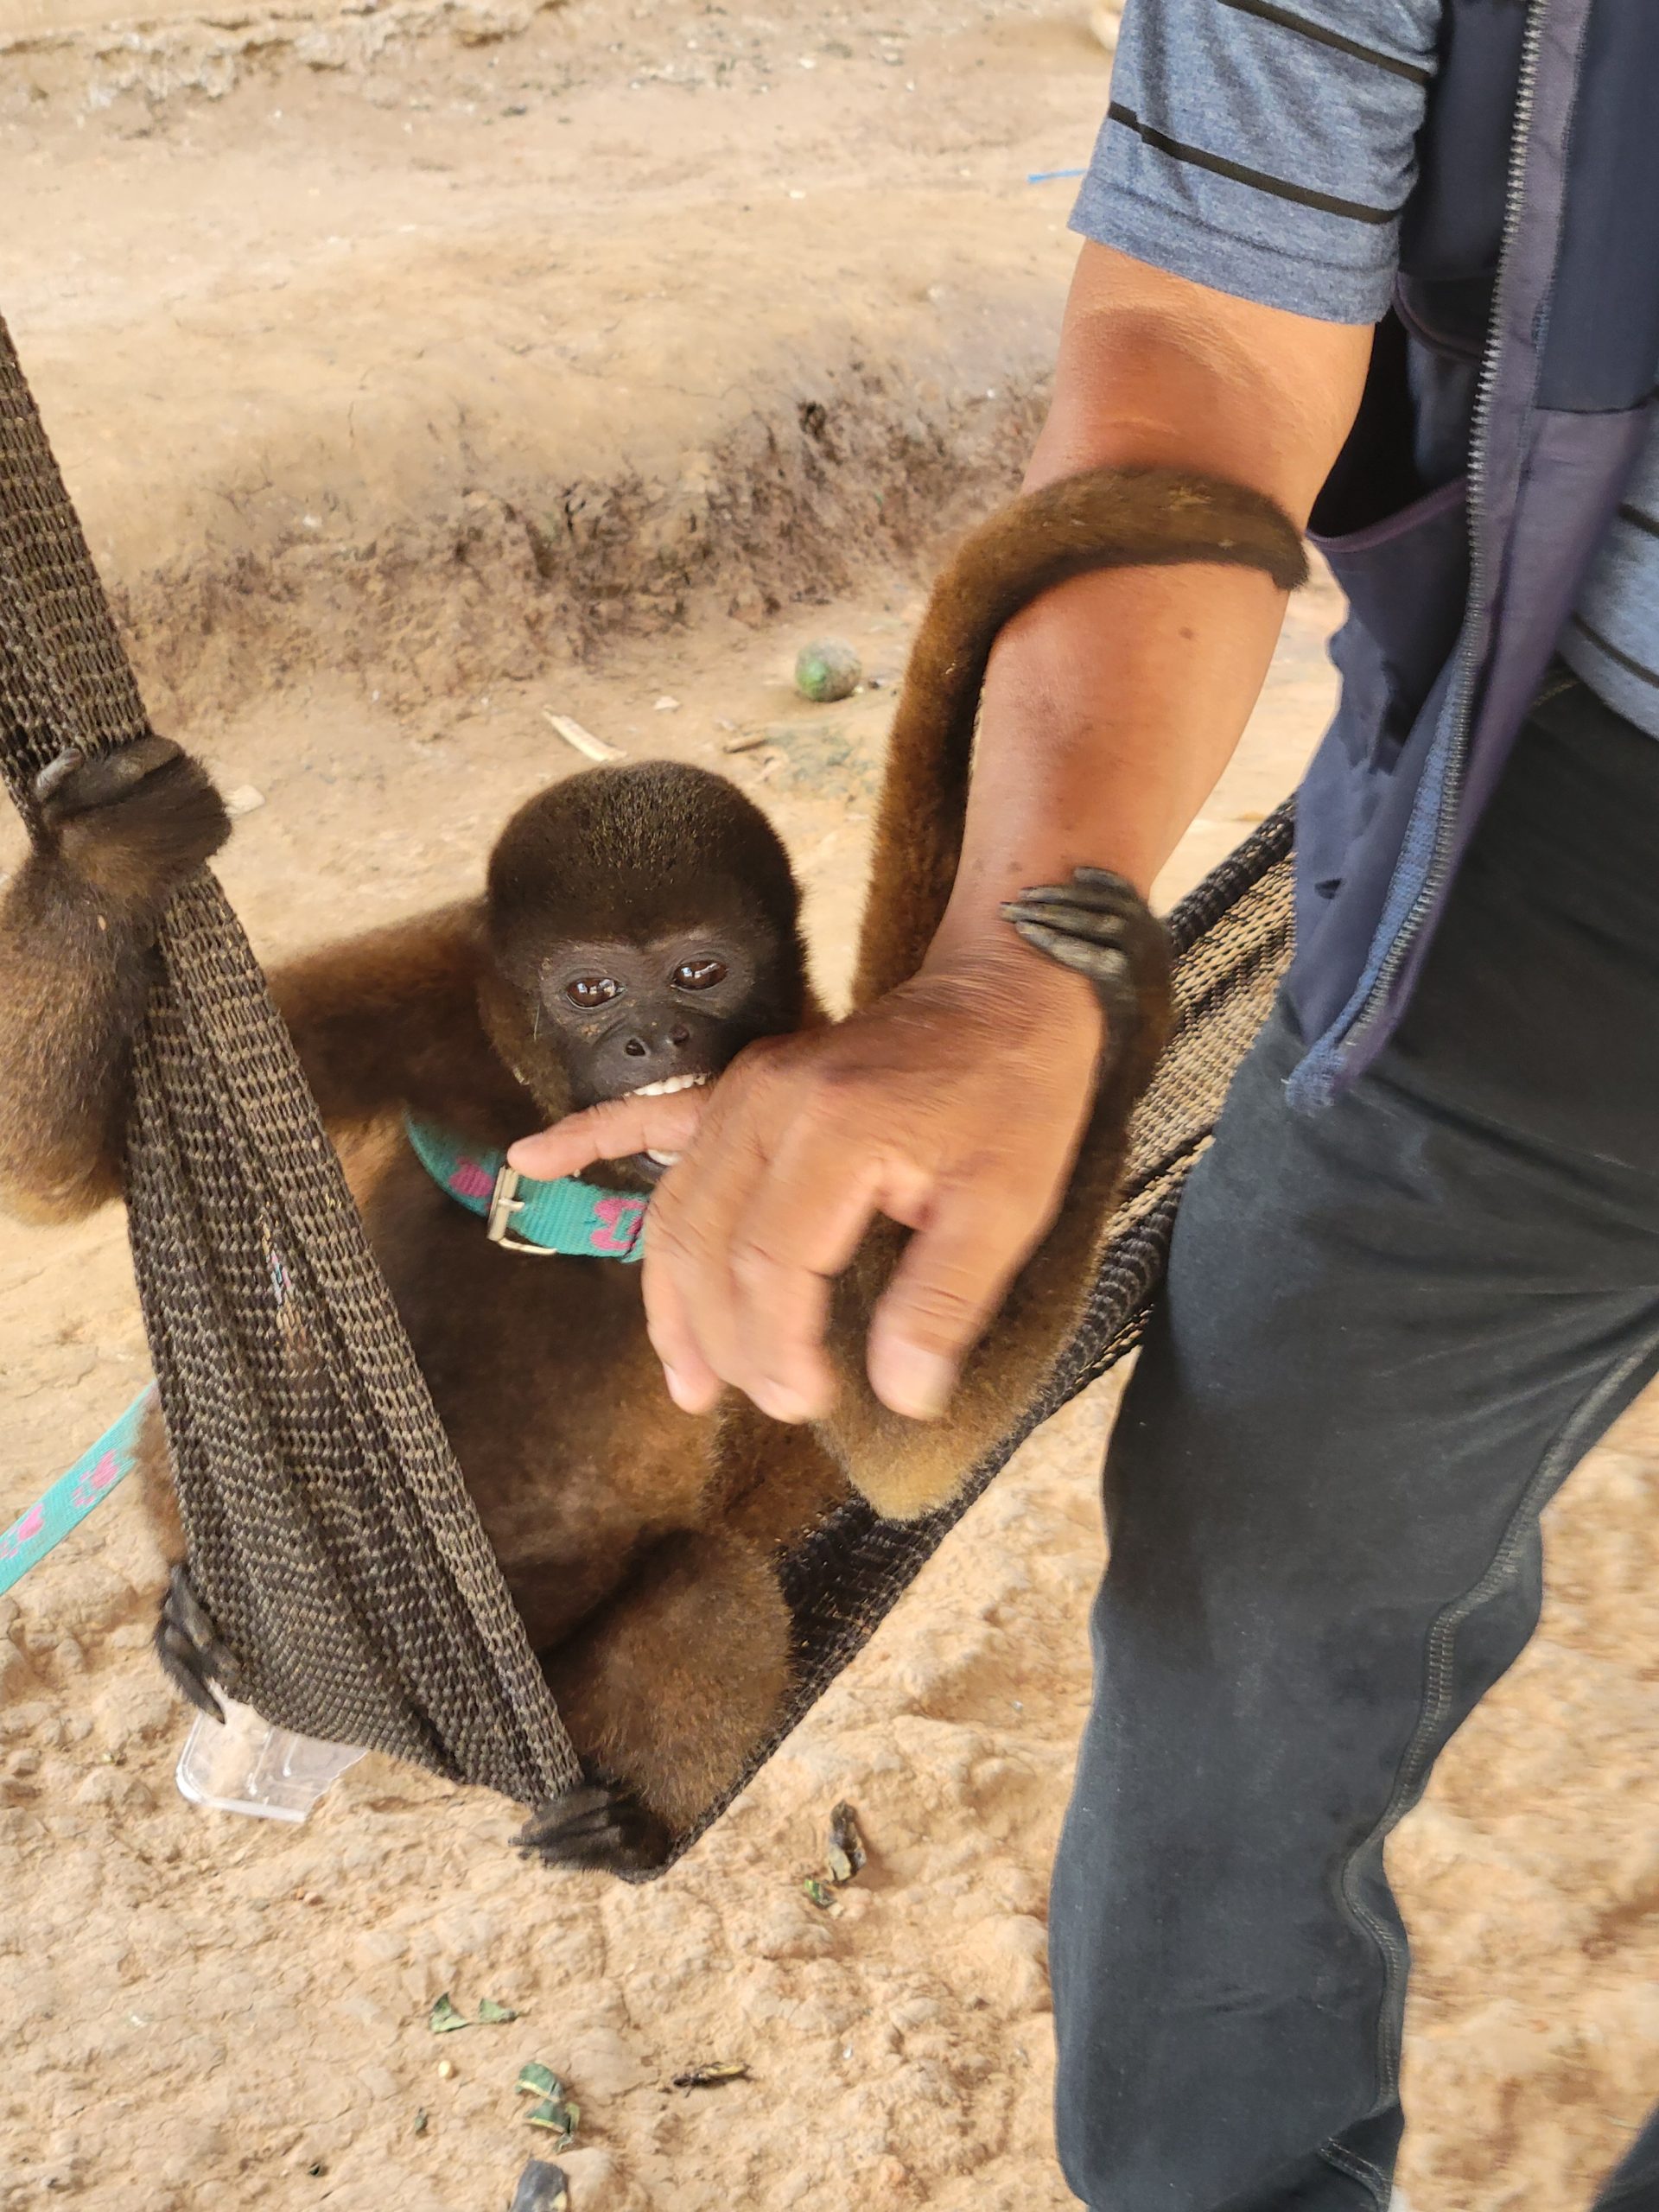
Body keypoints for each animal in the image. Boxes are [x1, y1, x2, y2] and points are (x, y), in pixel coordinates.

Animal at [0, 466, 1305, 1870]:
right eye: (588, 990)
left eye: (698, 971)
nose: (650, 1041)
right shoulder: (423, 982)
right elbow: (60, 1170)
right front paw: (112, 856)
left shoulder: (815, 1113)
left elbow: (910, 1453)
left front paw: (1123, 1027)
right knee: (210, 1413)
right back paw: (201, 1613)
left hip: (569, 1691)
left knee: (709, 1588)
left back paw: (627, 1822)